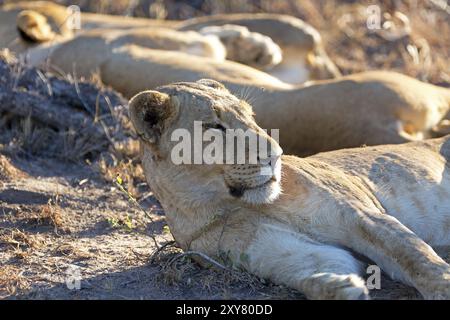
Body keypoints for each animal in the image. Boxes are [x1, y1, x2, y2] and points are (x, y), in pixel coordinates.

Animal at [128, 80, 450, 300]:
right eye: (214, 126)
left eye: (250, 117)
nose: (275, 155)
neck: (225, 204)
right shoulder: (279, 252)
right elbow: (313, 271)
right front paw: (339, 287)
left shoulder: (360, 215)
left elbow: (415, 255)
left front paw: (443, 287)